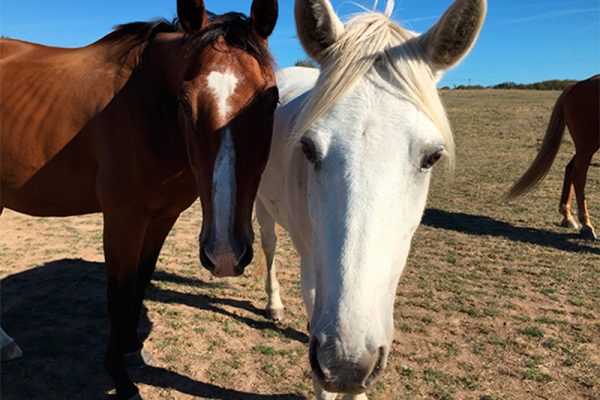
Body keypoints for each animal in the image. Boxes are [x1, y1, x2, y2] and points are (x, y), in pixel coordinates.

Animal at [0, 1, 280, 398]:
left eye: (271, 100)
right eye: (184, 102)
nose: (225, 254)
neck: (147, 108)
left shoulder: (162, 217)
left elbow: (141, 281)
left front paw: (133, 348)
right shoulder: (123, 219)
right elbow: (119, 296)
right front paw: (120, 377)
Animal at [508, 74, 596, 241]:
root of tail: (577, 85)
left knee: (571, 168)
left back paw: (568, 217)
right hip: (587, 144)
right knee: (578, 175)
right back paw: (586, 225)